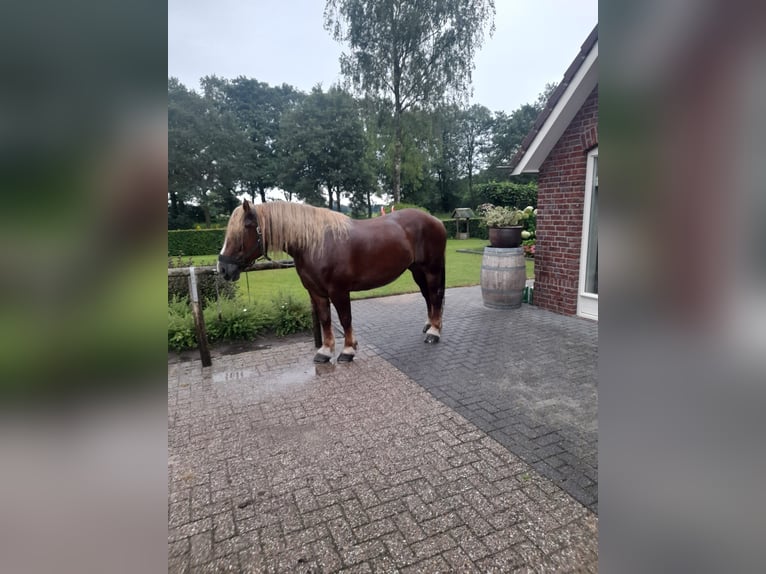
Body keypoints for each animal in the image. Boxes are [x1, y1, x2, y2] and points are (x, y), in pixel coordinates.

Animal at [216, 201, 448, 364]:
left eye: (244, 228)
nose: (223, 269)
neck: (316, 244)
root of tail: (435, 220)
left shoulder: (339, 291)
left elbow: (345, 319)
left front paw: (348, 350)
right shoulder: (316, 292)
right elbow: (325, 319)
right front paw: (326, 351)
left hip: (431, 269)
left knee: (435, 296)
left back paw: (434, 333)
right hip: (417, 270)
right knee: (428, 296)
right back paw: (429, 326)